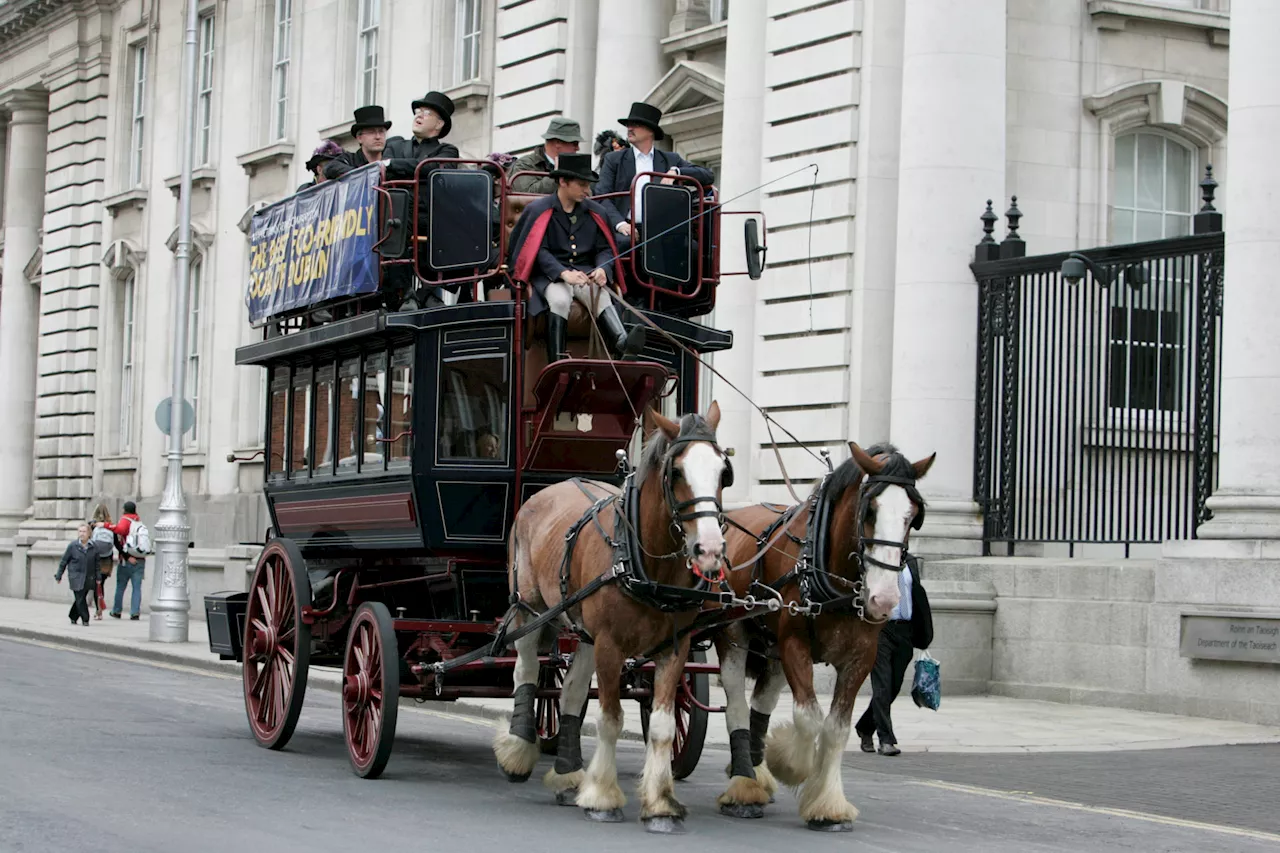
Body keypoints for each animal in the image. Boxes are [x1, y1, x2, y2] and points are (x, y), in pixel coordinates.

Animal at [488, 399, 732, 829]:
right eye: (677, 471)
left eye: (723, 471)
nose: (709, 550)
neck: (645, 566)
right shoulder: (610, 645)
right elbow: (610, 718)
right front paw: (602, 796)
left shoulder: (673, 649)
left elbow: (663, 726)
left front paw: (660, 803)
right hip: (529, 608)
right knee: (527, 671)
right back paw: (518, 751)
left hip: (581, 629)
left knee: (569, 690)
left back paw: (568, 773)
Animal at [711, 440, 931, 824]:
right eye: (870, 509)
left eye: (913, 514)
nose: (885, 599)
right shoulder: (794, 645)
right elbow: (809, 718)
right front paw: (792, 764)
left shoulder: (860, 657)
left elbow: (836, 728)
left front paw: (829, 804)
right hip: (735, 635)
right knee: (736, 704)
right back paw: (743, 787)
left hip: (770, 648)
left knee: (761, 705)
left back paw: (756, 770)